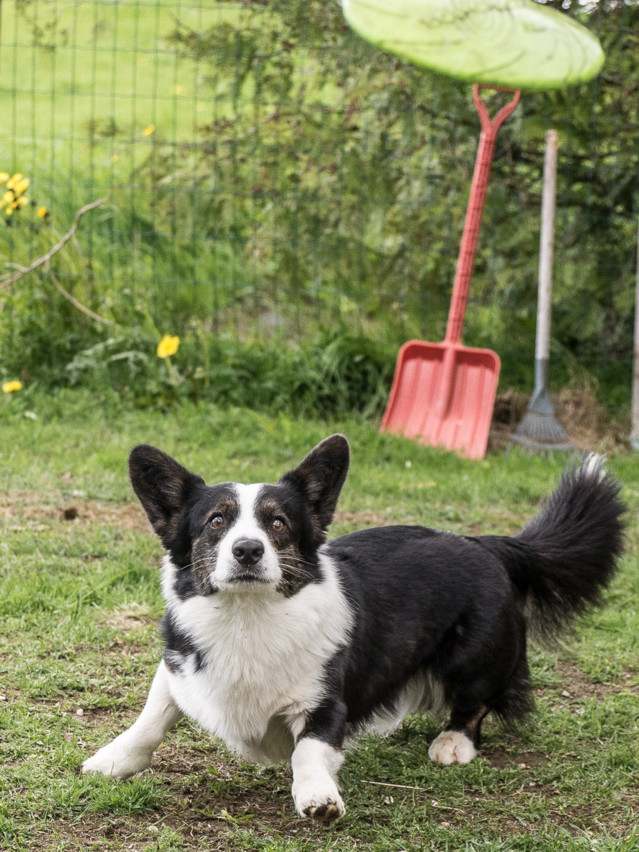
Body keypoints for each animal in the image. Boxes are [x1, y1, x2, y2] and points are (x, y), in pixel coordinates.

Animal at [82, 436, 628, 824]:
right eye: (216, 522)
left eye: (277, 525)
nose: (248, 551)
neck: (247, 617)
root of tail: (484, 542)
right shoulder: (180, 667)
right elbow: (152, 718)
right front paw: (111, 761)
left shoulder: (325, 705)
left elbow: (307, 752)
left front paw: (318, 797)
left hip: (474, 656)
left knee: (475, 702)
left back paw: (453, 743)